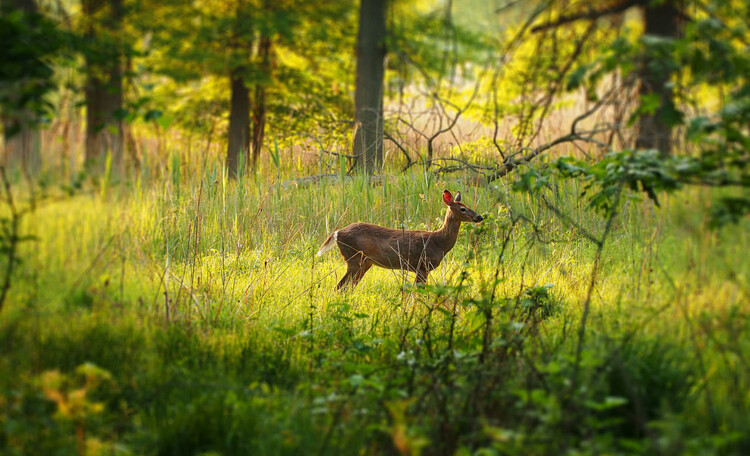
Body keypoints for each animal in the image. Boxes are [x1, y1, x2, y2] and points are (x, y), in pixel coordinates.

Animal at [318, 189, 488, 288]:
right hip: (354, 259)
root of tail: (337, 233)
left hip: (364, 263)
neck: (439, 242)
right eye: (463, 209)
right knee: (340, 287)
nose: (479, 217)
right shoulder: (422, 265)